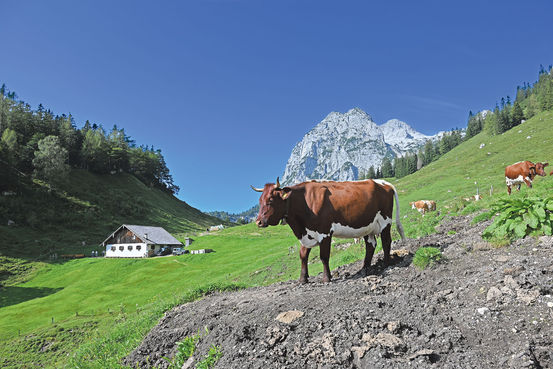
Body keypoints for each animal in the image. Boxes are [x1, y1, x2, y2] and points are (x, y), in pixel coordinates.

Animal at [251, 178, 406, 282]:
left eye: (270, 200)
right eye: (260, 201)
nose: (258, 222)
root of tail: (382, 182)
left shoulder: (324, 232)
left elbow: (324, 256)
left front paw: (326, 278)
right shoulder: (306, 234)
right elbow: (303, 256)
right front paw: (303, 279)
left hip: (385, 221)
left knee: (386, 241)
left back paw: (386, 263)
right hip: (367, 226)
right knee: (371, 245)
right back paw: (364, 268)